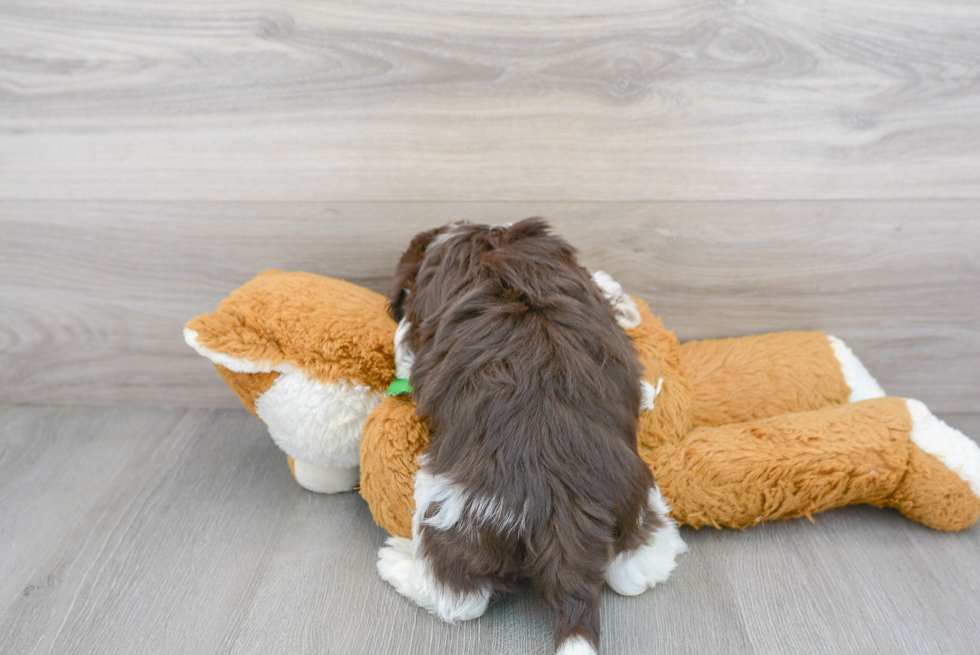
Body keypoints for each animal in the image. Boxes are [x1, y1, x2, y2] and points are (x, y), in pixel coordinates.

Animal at [378, 220, 688, 655]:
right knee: (636, 570)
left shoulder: (417, 326)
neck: (492, 245)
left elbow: (404, 344)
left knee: (460, 596)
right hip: (637, 498)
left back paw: (398, 563)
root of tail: (565, 514)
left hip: (447, 505)